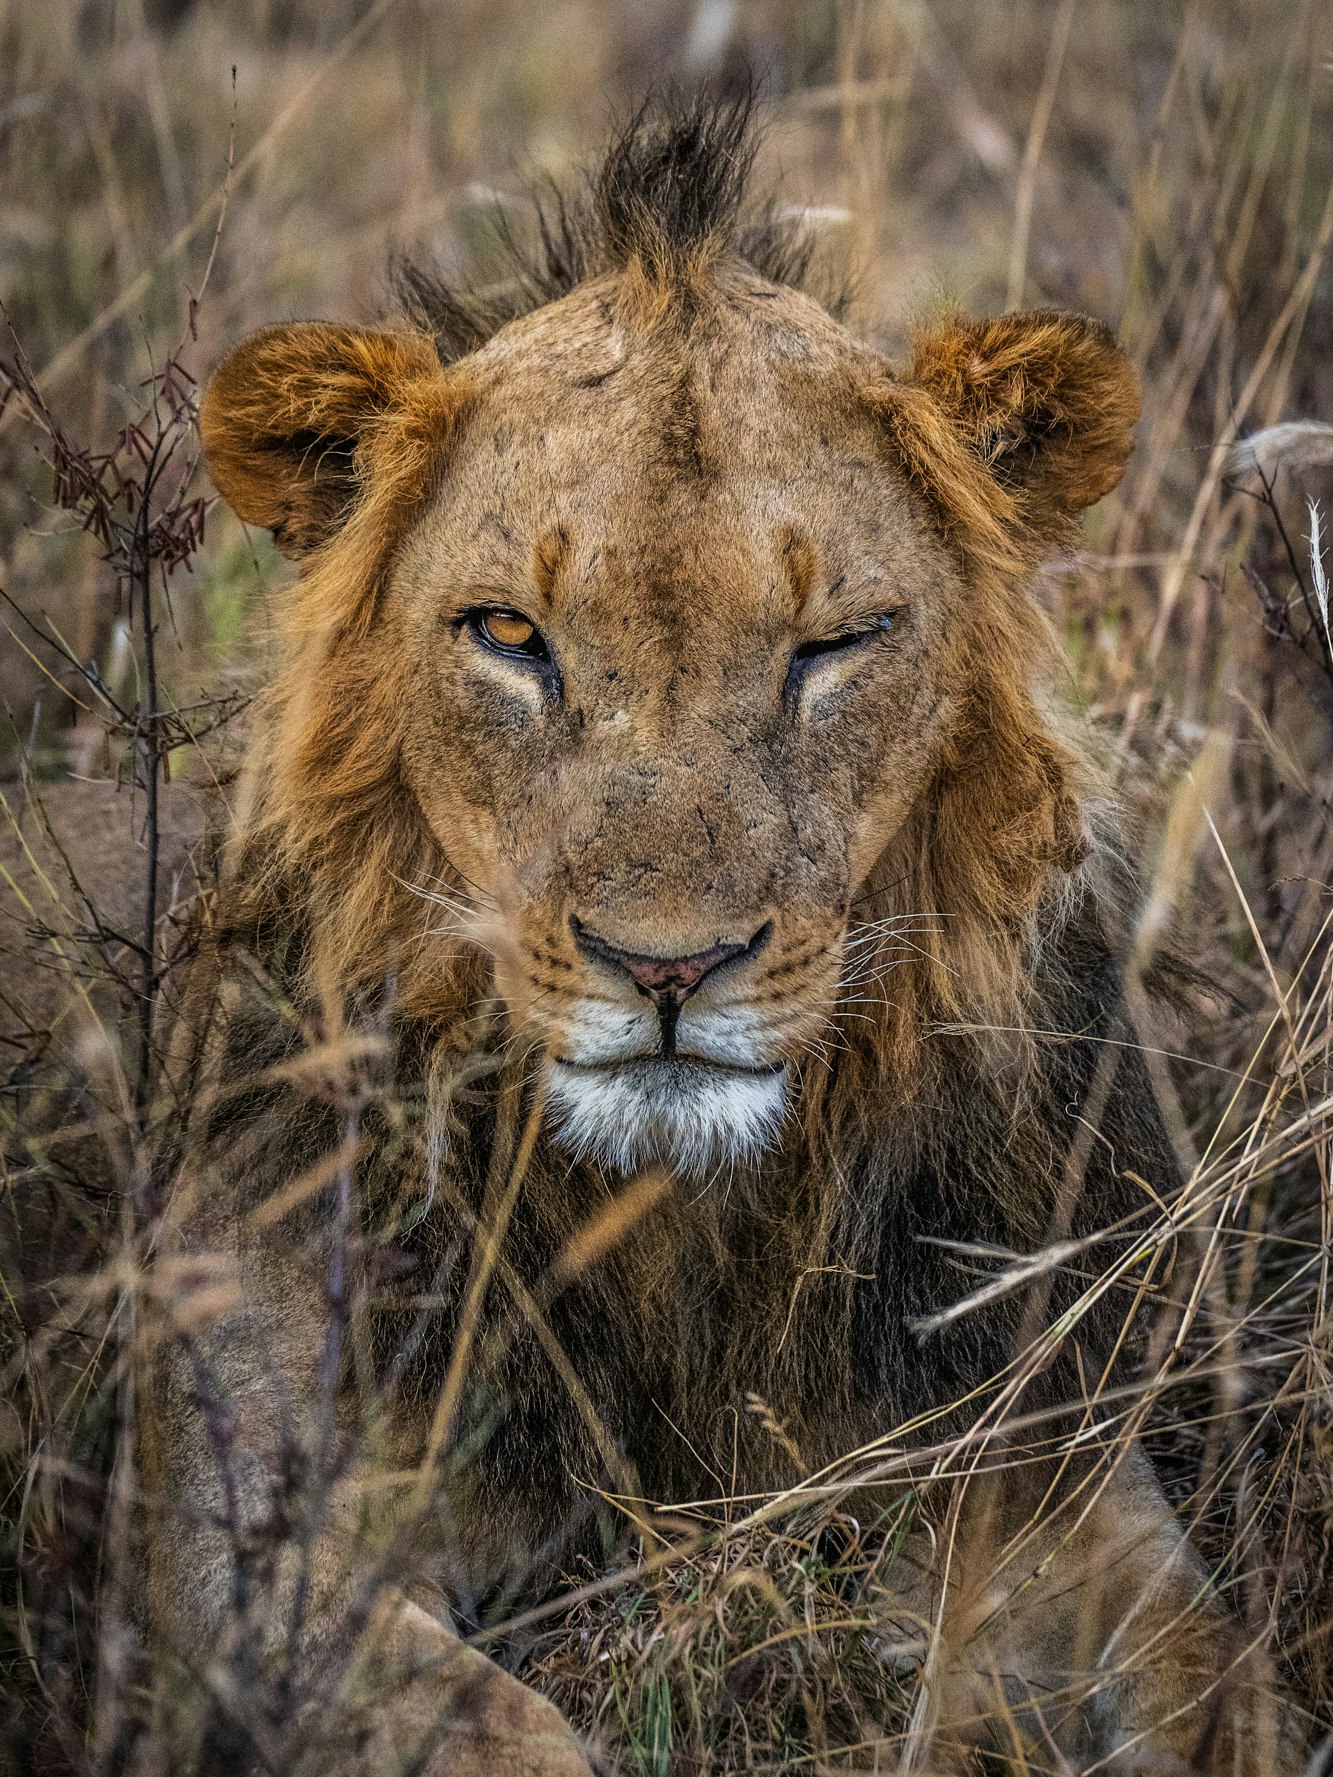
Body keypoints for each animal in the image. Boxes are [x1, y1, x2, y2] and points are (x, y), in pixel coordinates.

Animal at [143, 95, 1293, 1775]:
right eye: (510, 635)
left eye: (834, 644)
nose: (667, 968)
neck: (678, 1235)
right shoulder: (227, 1556)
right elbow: (498, 1731)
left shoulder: (1031, 1451)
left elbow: (1217, 1670)